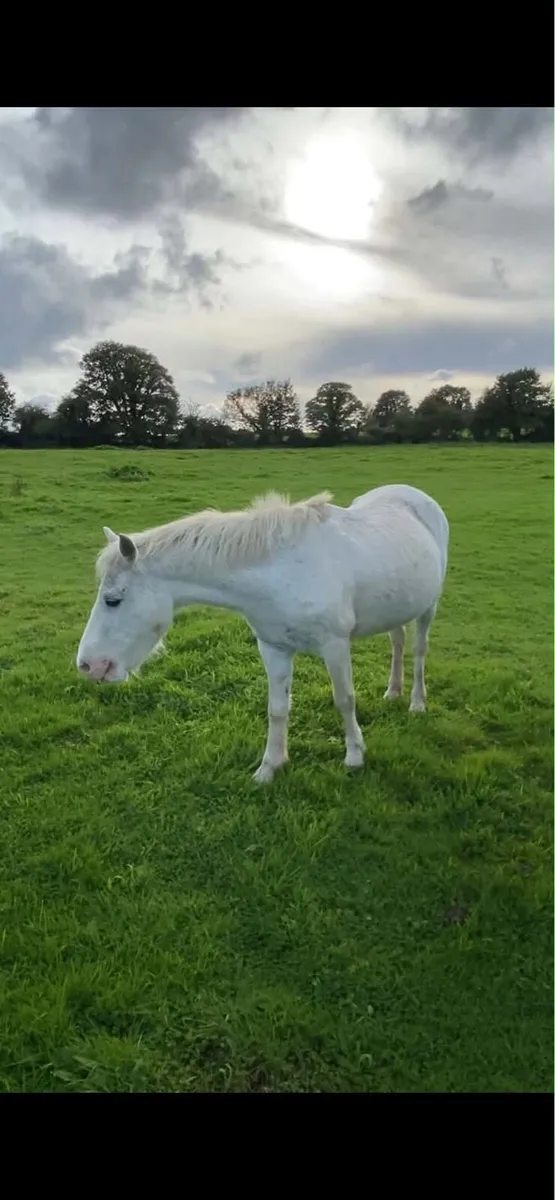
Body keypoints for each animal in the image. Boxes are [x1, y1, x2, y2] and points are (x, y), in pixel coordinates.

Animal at [76, 483, 449, 782]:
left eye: (113, 600)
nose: (88, 666)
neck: (279, 573)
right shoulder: (273, 647)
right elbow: (277, 708)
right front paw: (270, 767)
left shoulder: (334, 645)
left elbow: (344, 699)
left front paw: (355, 756)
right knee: (397, 642)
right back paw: (393, 691)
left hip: (428, 607)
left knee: (419, 649)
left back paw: (416, 702)